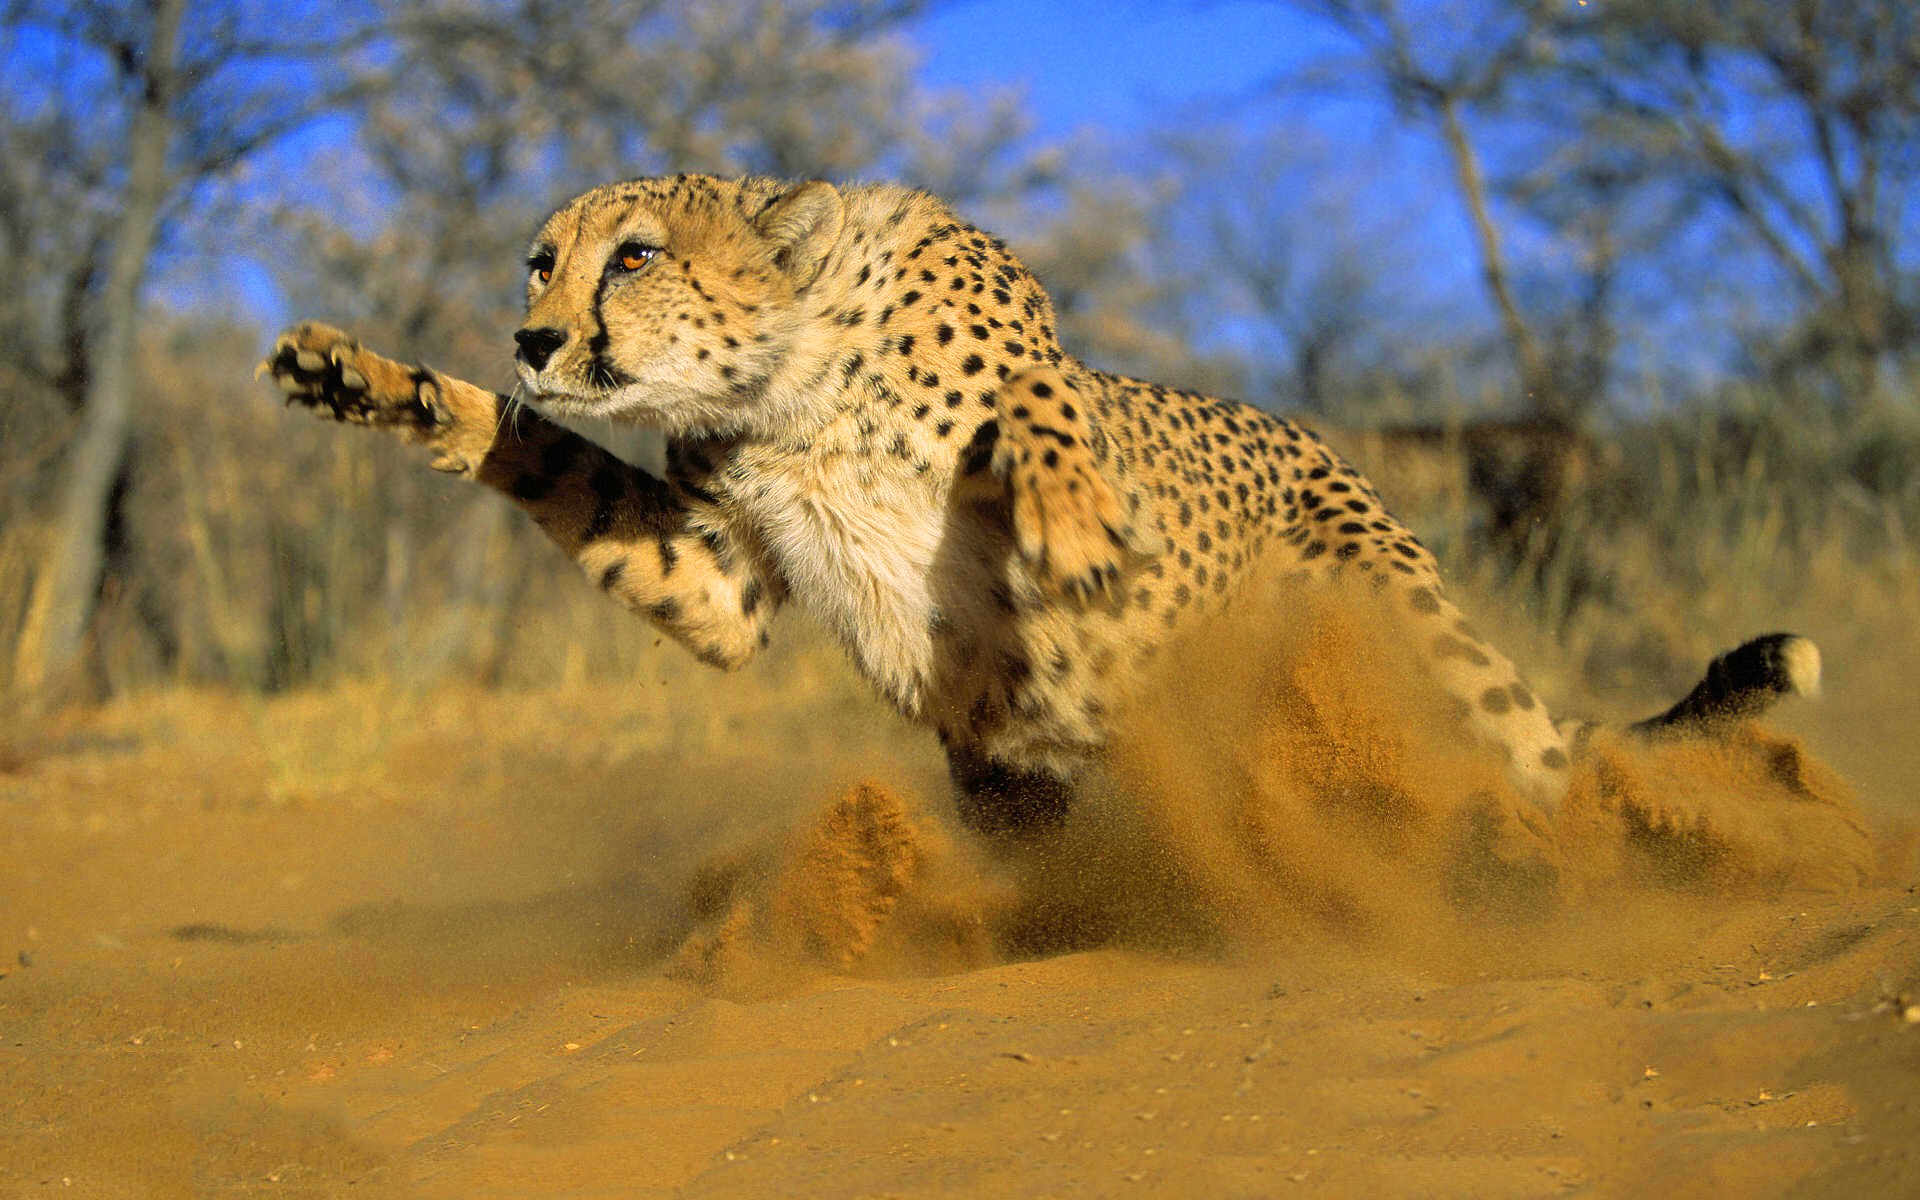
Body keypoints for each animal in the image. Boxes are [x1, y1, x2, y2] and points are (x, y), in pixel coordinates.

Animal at [259, 172, 1812, 840]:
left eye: (633, 257)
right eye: (541, 262)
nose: (532, 339)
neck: (790, 388)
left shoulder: (1036, 355)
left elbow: (1044, 406)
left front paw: (1065, 521)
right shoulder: (719, 577)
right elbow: (551, 467)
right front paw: (376, 382)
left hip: (1400, 618)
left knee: (1535, 762)